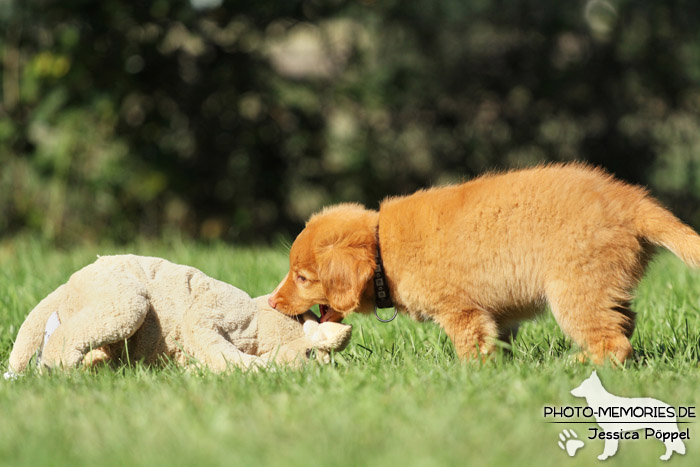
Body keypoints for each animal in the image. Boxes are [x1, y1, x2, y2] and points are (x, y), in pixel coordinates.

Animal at [268, 165, 700, 366]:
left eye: (302, 278)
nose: (271, 302)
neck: (383, 249)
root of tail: (631, 202)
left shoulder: (461, 311)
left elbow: (470, 346)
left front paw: (468, 374)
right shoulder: (497, 314)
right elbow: (498, 341)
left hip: (574, 290)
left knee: (613, 344)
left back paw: (570, 363)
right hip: (602, 285)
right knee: (624, 323)